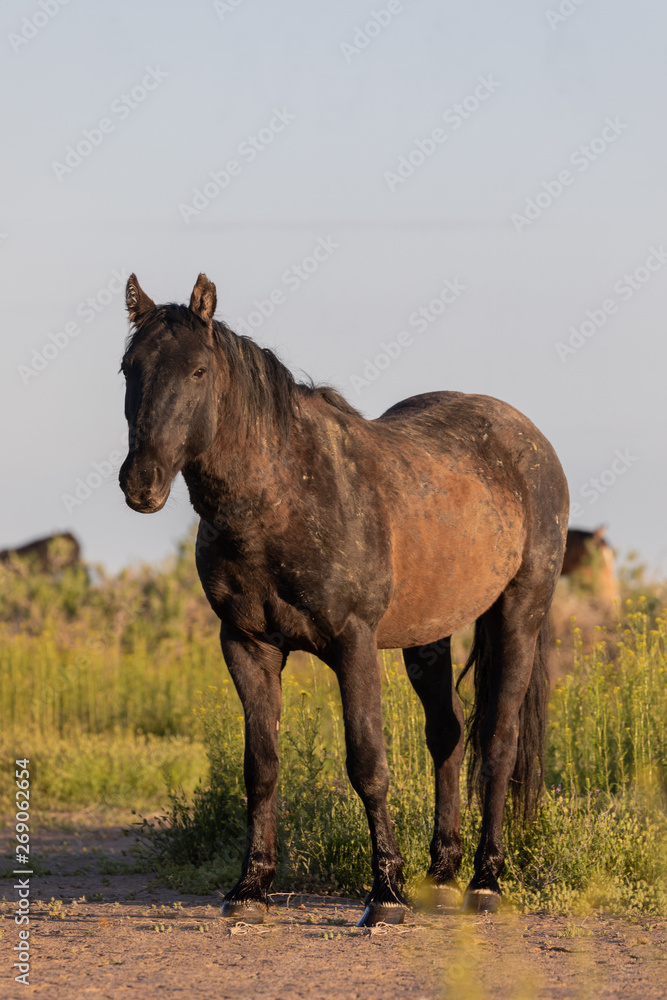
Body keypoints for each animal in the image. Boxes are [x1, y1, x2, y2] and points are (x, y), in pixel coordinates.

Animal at [118, 273, 569, 925]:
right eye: (129, 368)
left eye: (199, 371)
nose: (140, 483)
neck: (280, 498)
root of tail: (529, 440)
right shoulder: (246, 646)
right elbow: (261, 768)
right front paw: (250, 889)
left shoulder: (353, 644)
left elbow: (368, 765)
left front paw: (385, 895)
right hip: (430, 633)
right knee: (449, 734)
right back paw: (441, 876)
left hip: (519, 615)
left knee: (500, 743)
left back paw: (485, 882)